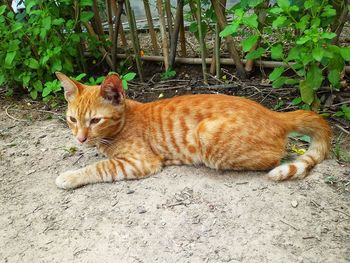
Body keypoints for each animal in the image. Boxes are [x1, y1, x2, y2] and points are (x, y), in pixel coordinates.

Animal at [54, 72, 330, 190]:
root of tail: (274, 114)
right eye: (72, 119)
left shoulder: (139, 161)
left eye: (95, 120)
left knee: (275, 158)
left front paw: (69, 176)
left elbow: (99, 167)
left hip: (207, 135)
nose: (80, 139)